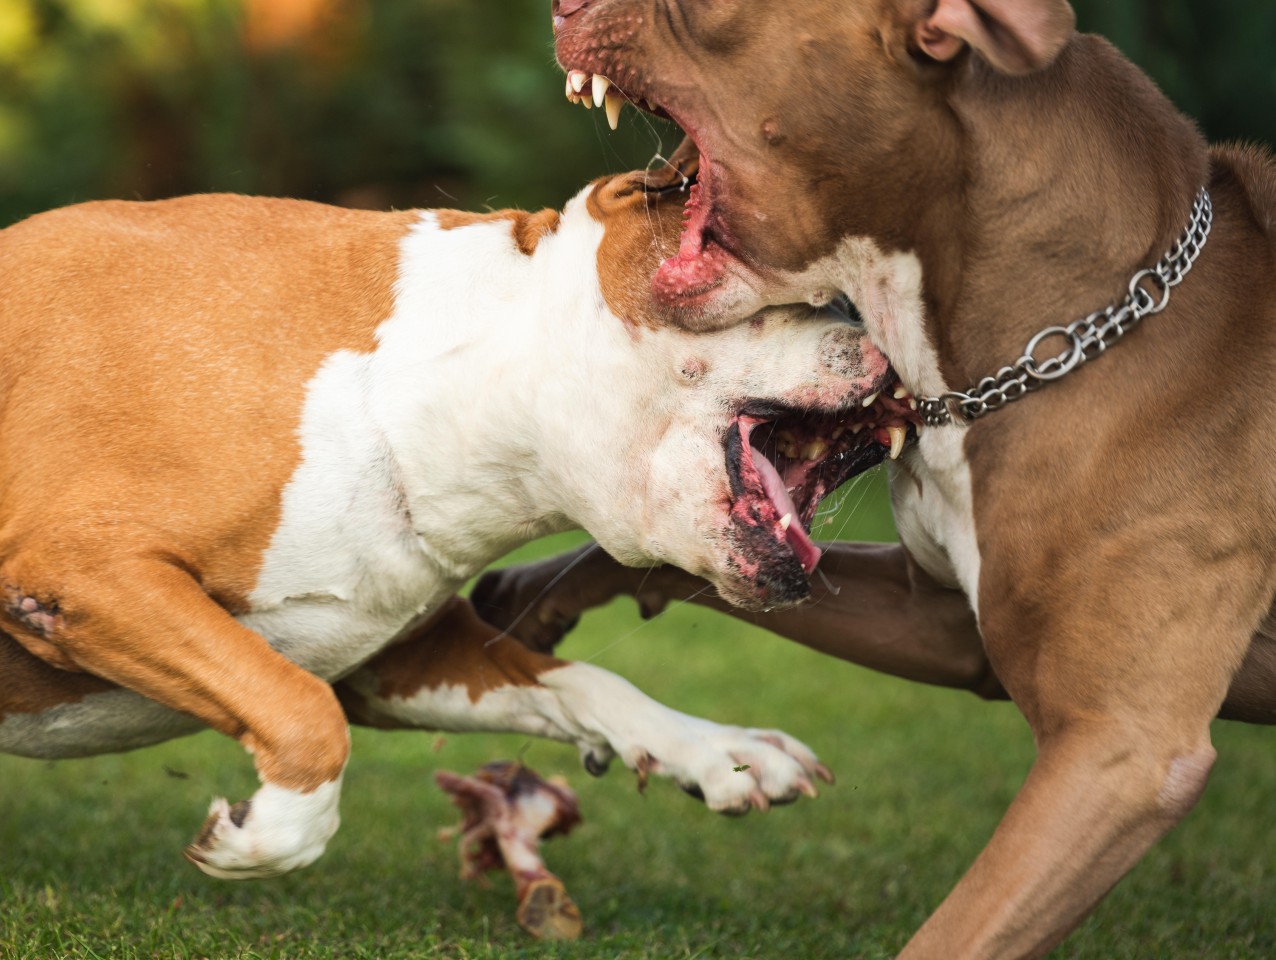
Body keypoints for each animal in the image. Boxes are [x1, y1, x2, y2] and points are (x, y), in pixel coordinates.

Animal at [0, 171, 903, 893]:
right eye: (822, 300)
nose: (895, 358)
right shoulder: (85, 570)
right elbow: (305, 717)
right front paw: (266, 837)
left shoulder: (392, 656)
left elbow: (583, 682)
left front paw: (718, 751)